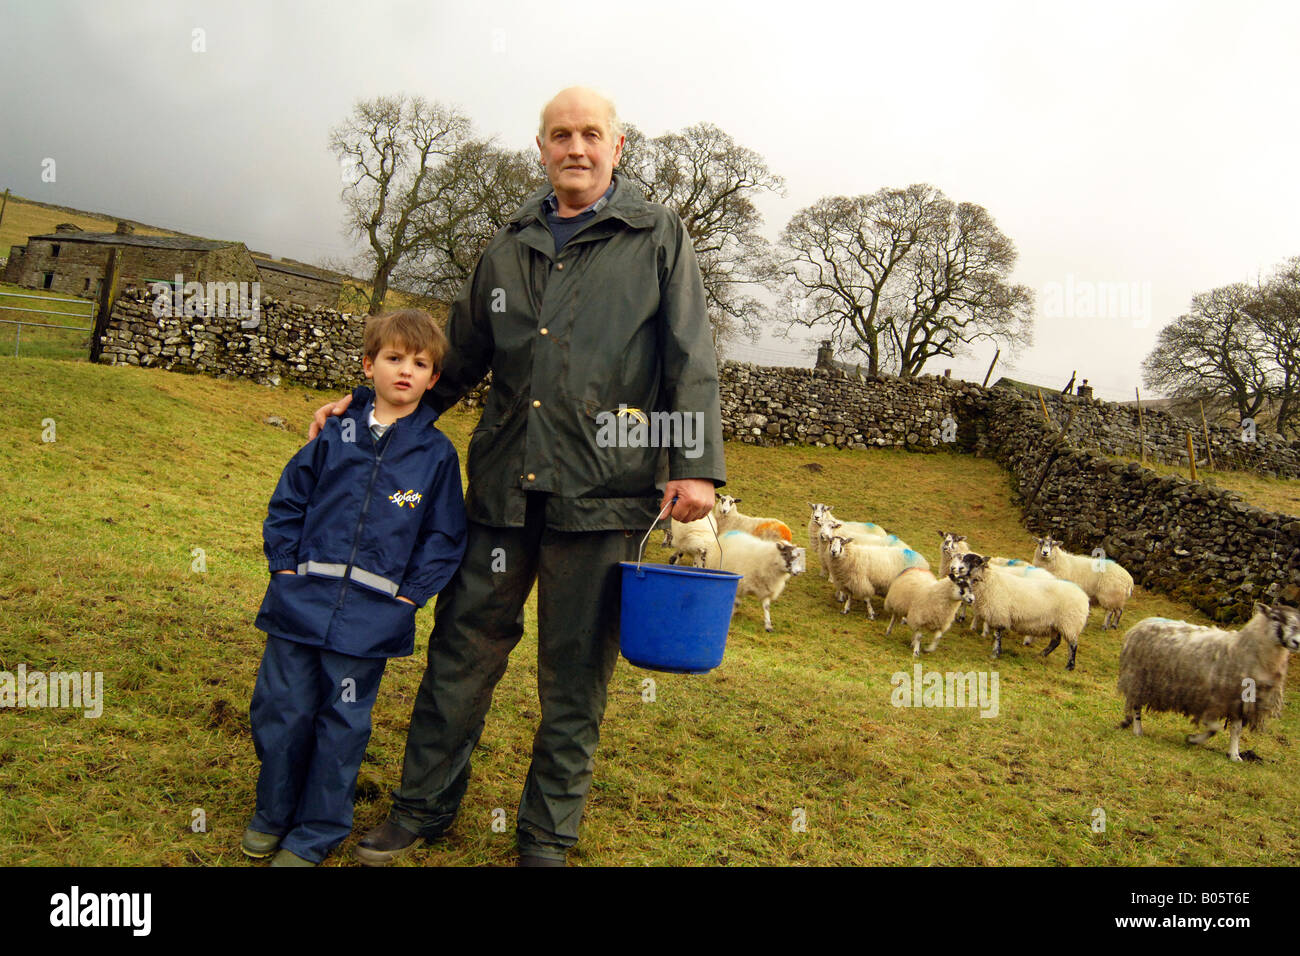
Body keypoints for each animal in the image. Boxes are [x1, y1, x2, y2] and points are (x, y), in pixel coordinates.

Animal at [961, 556, 1092, 671]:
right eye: (963, 558)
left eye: (975, 561)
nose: (959, 568)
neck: (989, 580)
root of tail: (1084, 597)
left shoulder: (1000, 615)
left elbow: (997, 635)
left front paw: (995, 653)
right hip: (1056, 624)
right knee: (1056, 641)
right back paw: (1041, 655)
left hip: (1070, 624)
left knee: (1073, 645)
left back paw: (1069, 666)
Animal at [1118, 606, 1300, 764]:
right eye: (1275, 617)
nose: (1296, 642)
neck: (1244, 649)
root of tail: (1142, 623)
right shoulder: (1213, 700)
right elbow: (1214, 728)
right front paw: (1193, 739)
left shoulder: (1238, 702)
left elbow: (1236, 730)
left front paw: (1234, 755)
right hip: (1138, 678)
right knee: (1136, 706)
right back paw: (1137, 730)